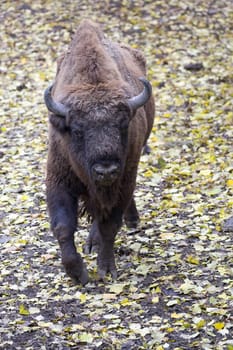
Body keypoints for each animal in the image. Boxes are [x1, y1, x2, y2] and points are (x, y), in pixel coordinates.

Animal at [44, 19, 156, 284]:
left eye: (123, 125)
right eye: (76, 130)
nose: (106, 170)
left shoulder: (123, 182)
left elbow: (109, 226)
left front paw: (106, 269)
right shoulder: (58, 180)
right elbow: (63, 227)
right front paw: (78, 274)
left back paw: (130, 222)